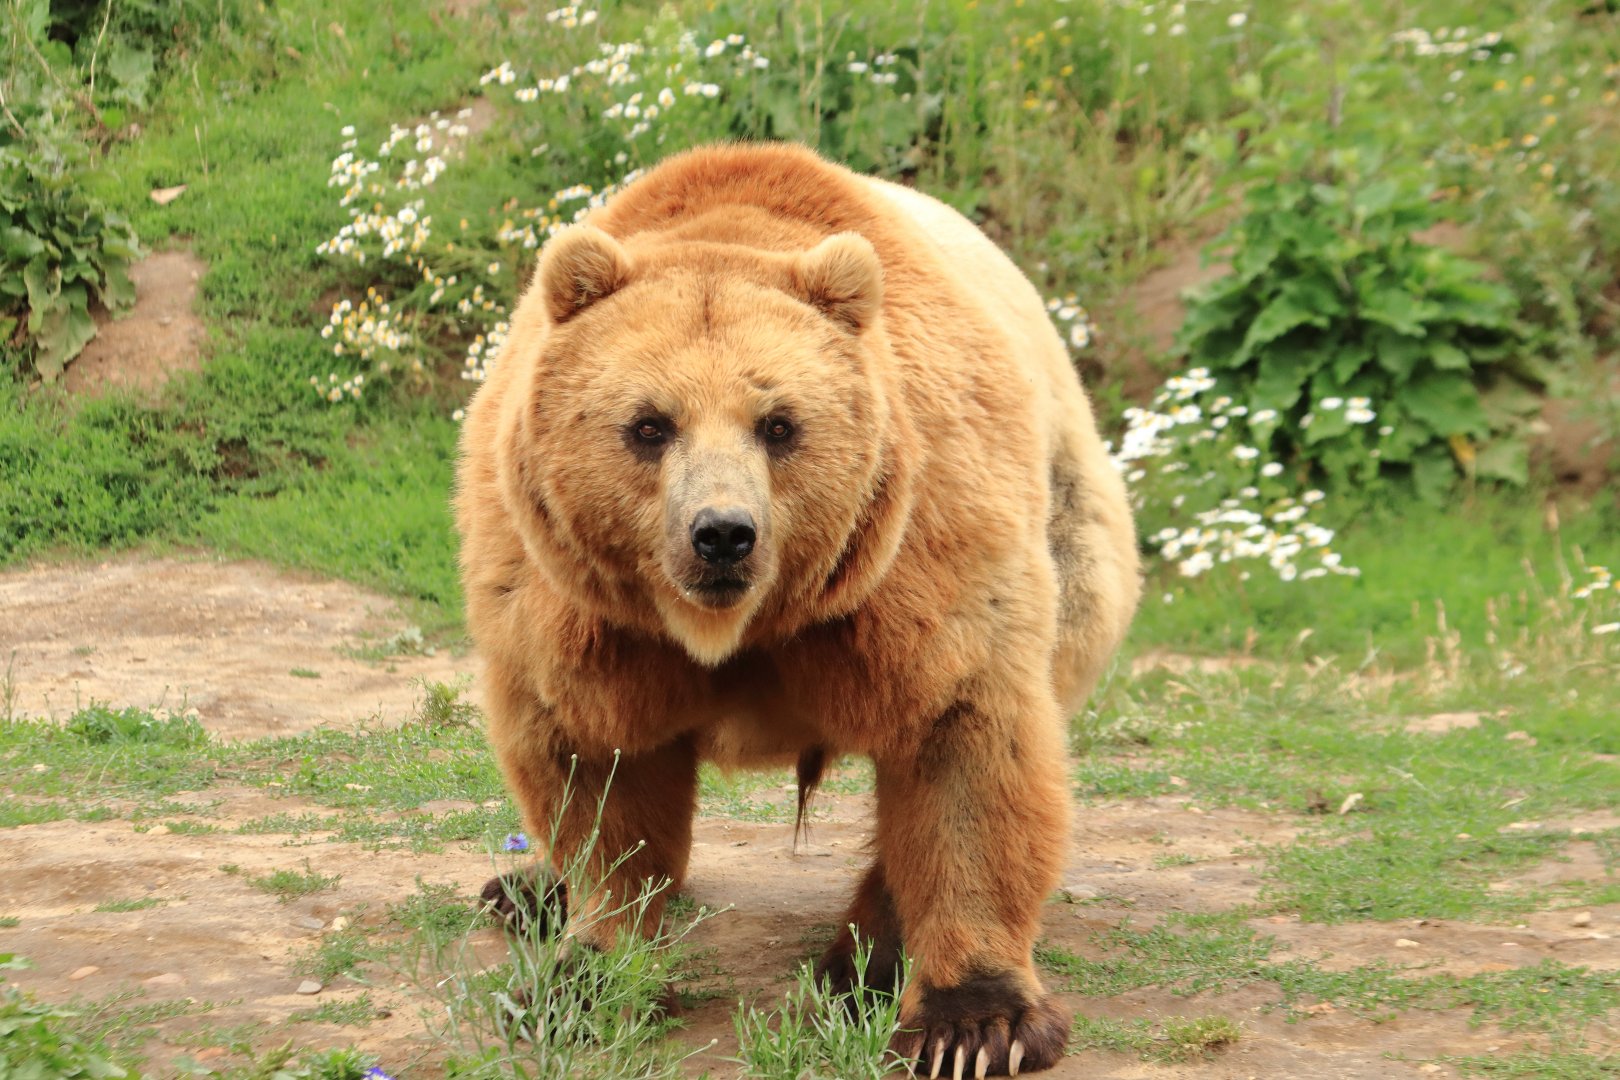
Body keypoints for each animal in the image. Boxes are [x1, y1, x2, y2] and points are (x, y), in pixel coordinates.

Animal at [455, 143, 1140, 1077]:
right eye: (649, 424)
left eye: (778, 423)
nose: (722, 535)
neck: (739, 630)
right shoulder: (580, 611)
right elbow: (597, 779)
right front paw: (585, 975)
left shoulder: (920, 560)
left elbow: (963, 748)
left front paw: (971, 1023)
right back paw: (525, 891)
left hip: (1073, 529)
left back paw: (866, 957)